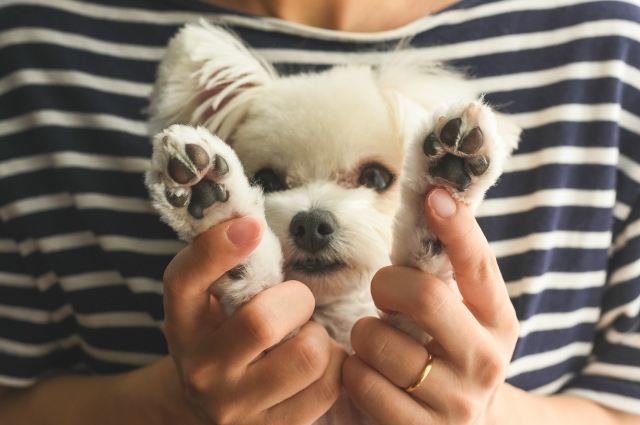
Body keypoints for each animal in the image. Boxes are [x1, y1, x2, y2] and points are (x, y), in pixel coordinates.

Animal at [144, 20, 520, 424]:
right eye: (267, 181)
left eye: (375, 177)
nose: (311, 224)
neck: (336, 317)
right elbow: (255, 281)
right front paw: (219, 208)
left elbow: (419, 281)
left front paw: (441, 188)